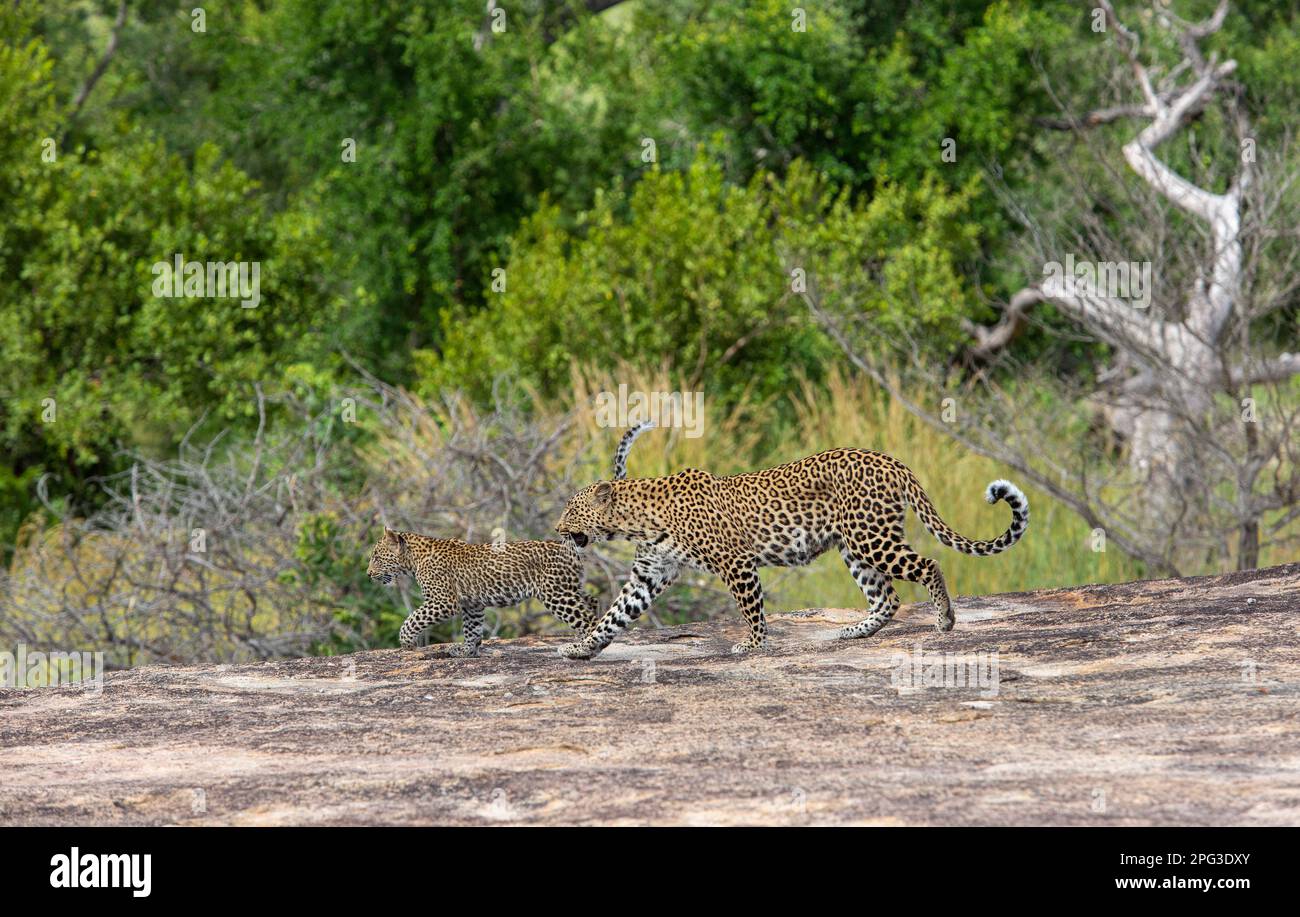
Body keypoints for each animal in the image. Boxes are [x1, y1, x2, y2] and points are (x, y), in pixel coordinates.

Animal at [553, 435, 1028, 660]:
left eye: (571, 509)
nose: (557, 529)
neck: (636, 522)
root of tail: (892, 461)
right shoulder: (649, 574)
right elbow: (614, 616)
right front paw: (582, 648)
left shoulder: (736, 563)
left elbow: (751, 609)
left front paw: (752, 645)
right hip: (853, 546)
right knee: (887, 597)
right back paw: (854, 631)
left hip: (870, 538)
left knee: (927, 565)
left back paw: (945, 620)